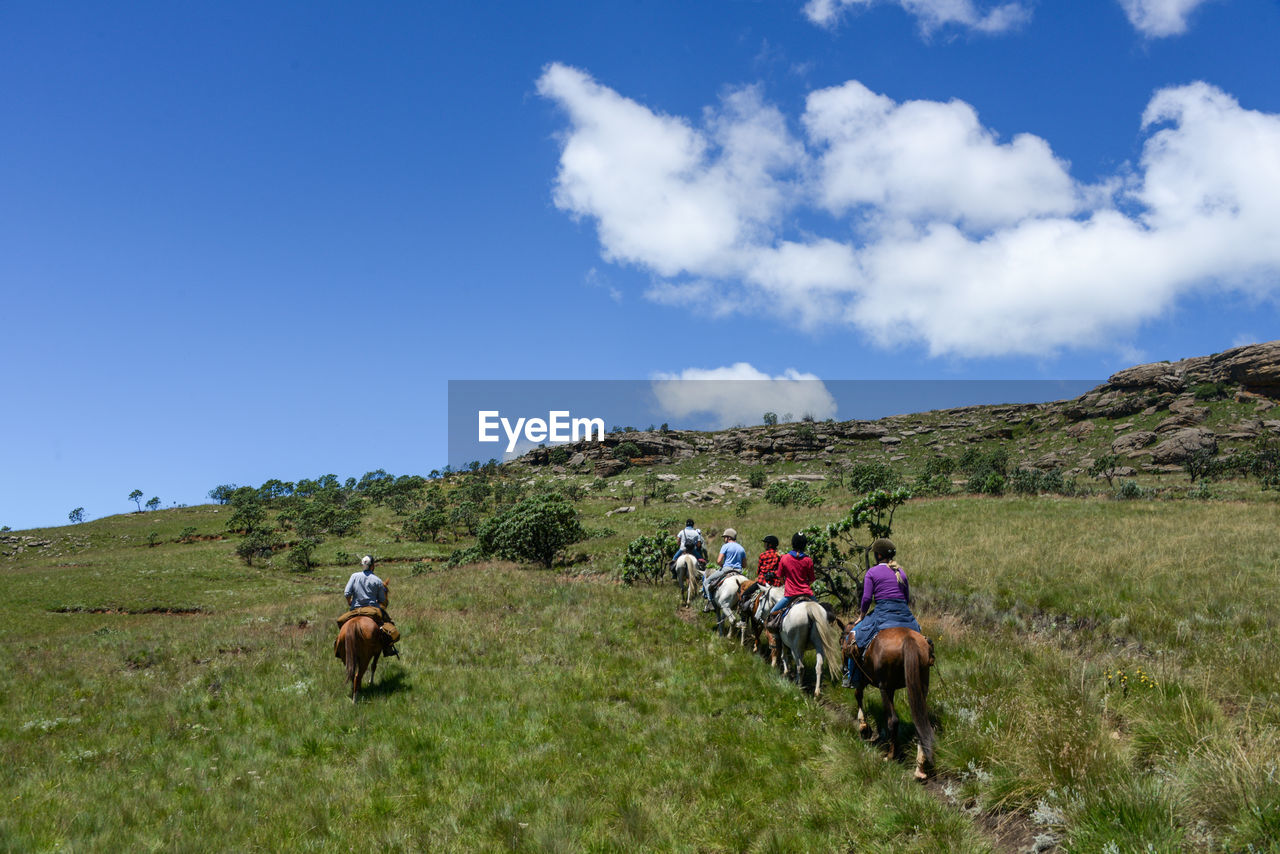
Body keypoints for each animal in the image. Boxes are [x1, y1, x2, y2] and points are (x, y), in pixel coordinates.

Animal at [844, 622, 936, 783]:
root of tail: (909, 639)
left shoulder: (864, 677)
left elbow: (858, 694)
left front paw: (864, 726)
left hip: (884, 688)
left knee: (893, 721)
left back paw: (890, 756)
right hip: (920, 686)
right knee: (920, 722)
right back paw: (919, 768)